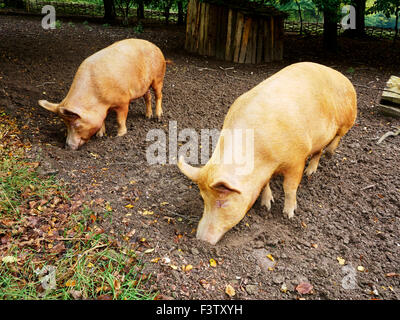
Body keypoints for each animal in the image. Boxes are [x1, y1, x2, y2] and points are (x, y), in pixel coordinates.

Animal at [39, 38, 171, 150]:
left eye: (76, 125)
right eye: (65, 124)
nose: (67, 147)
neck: (97, 98)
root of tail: (155, 46)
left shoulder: (123, 101)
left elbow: (120, 120)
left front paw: (119, 136)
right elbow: (102, 119)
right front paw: (100, 135)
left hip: (158, 78)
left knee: (159, 95)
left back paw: (158, 117)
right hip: (144, 86)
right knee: (148, 97)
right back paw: (147, 116)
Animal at [178, 61, 356, 244]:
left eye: (223, 203)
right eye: (203, 199)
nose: (201, 240)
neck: (264, 159)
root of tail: (341, 76)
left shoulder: (297, 159)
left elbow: (290, 188)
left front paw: (288, 214)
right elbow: (265, 184)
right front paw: (266, 205)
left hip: (348, 120)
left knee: (335, 139)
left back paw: (324, 158)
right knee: (319, 150)